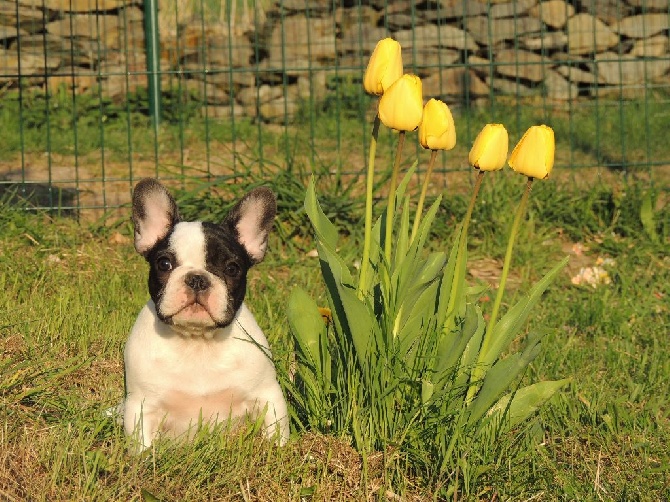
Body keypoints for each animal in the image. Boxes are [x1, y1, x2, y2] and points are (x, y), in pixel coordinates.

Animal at [122, 178, 288, 450]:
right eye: (164, 264)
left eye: (232, 268)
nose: (197, 279)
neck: (197, 342)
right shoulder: (142, 406)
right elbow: (142, 445)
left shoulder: (267, 395)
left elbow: (276, 433)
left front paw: (277, 451)